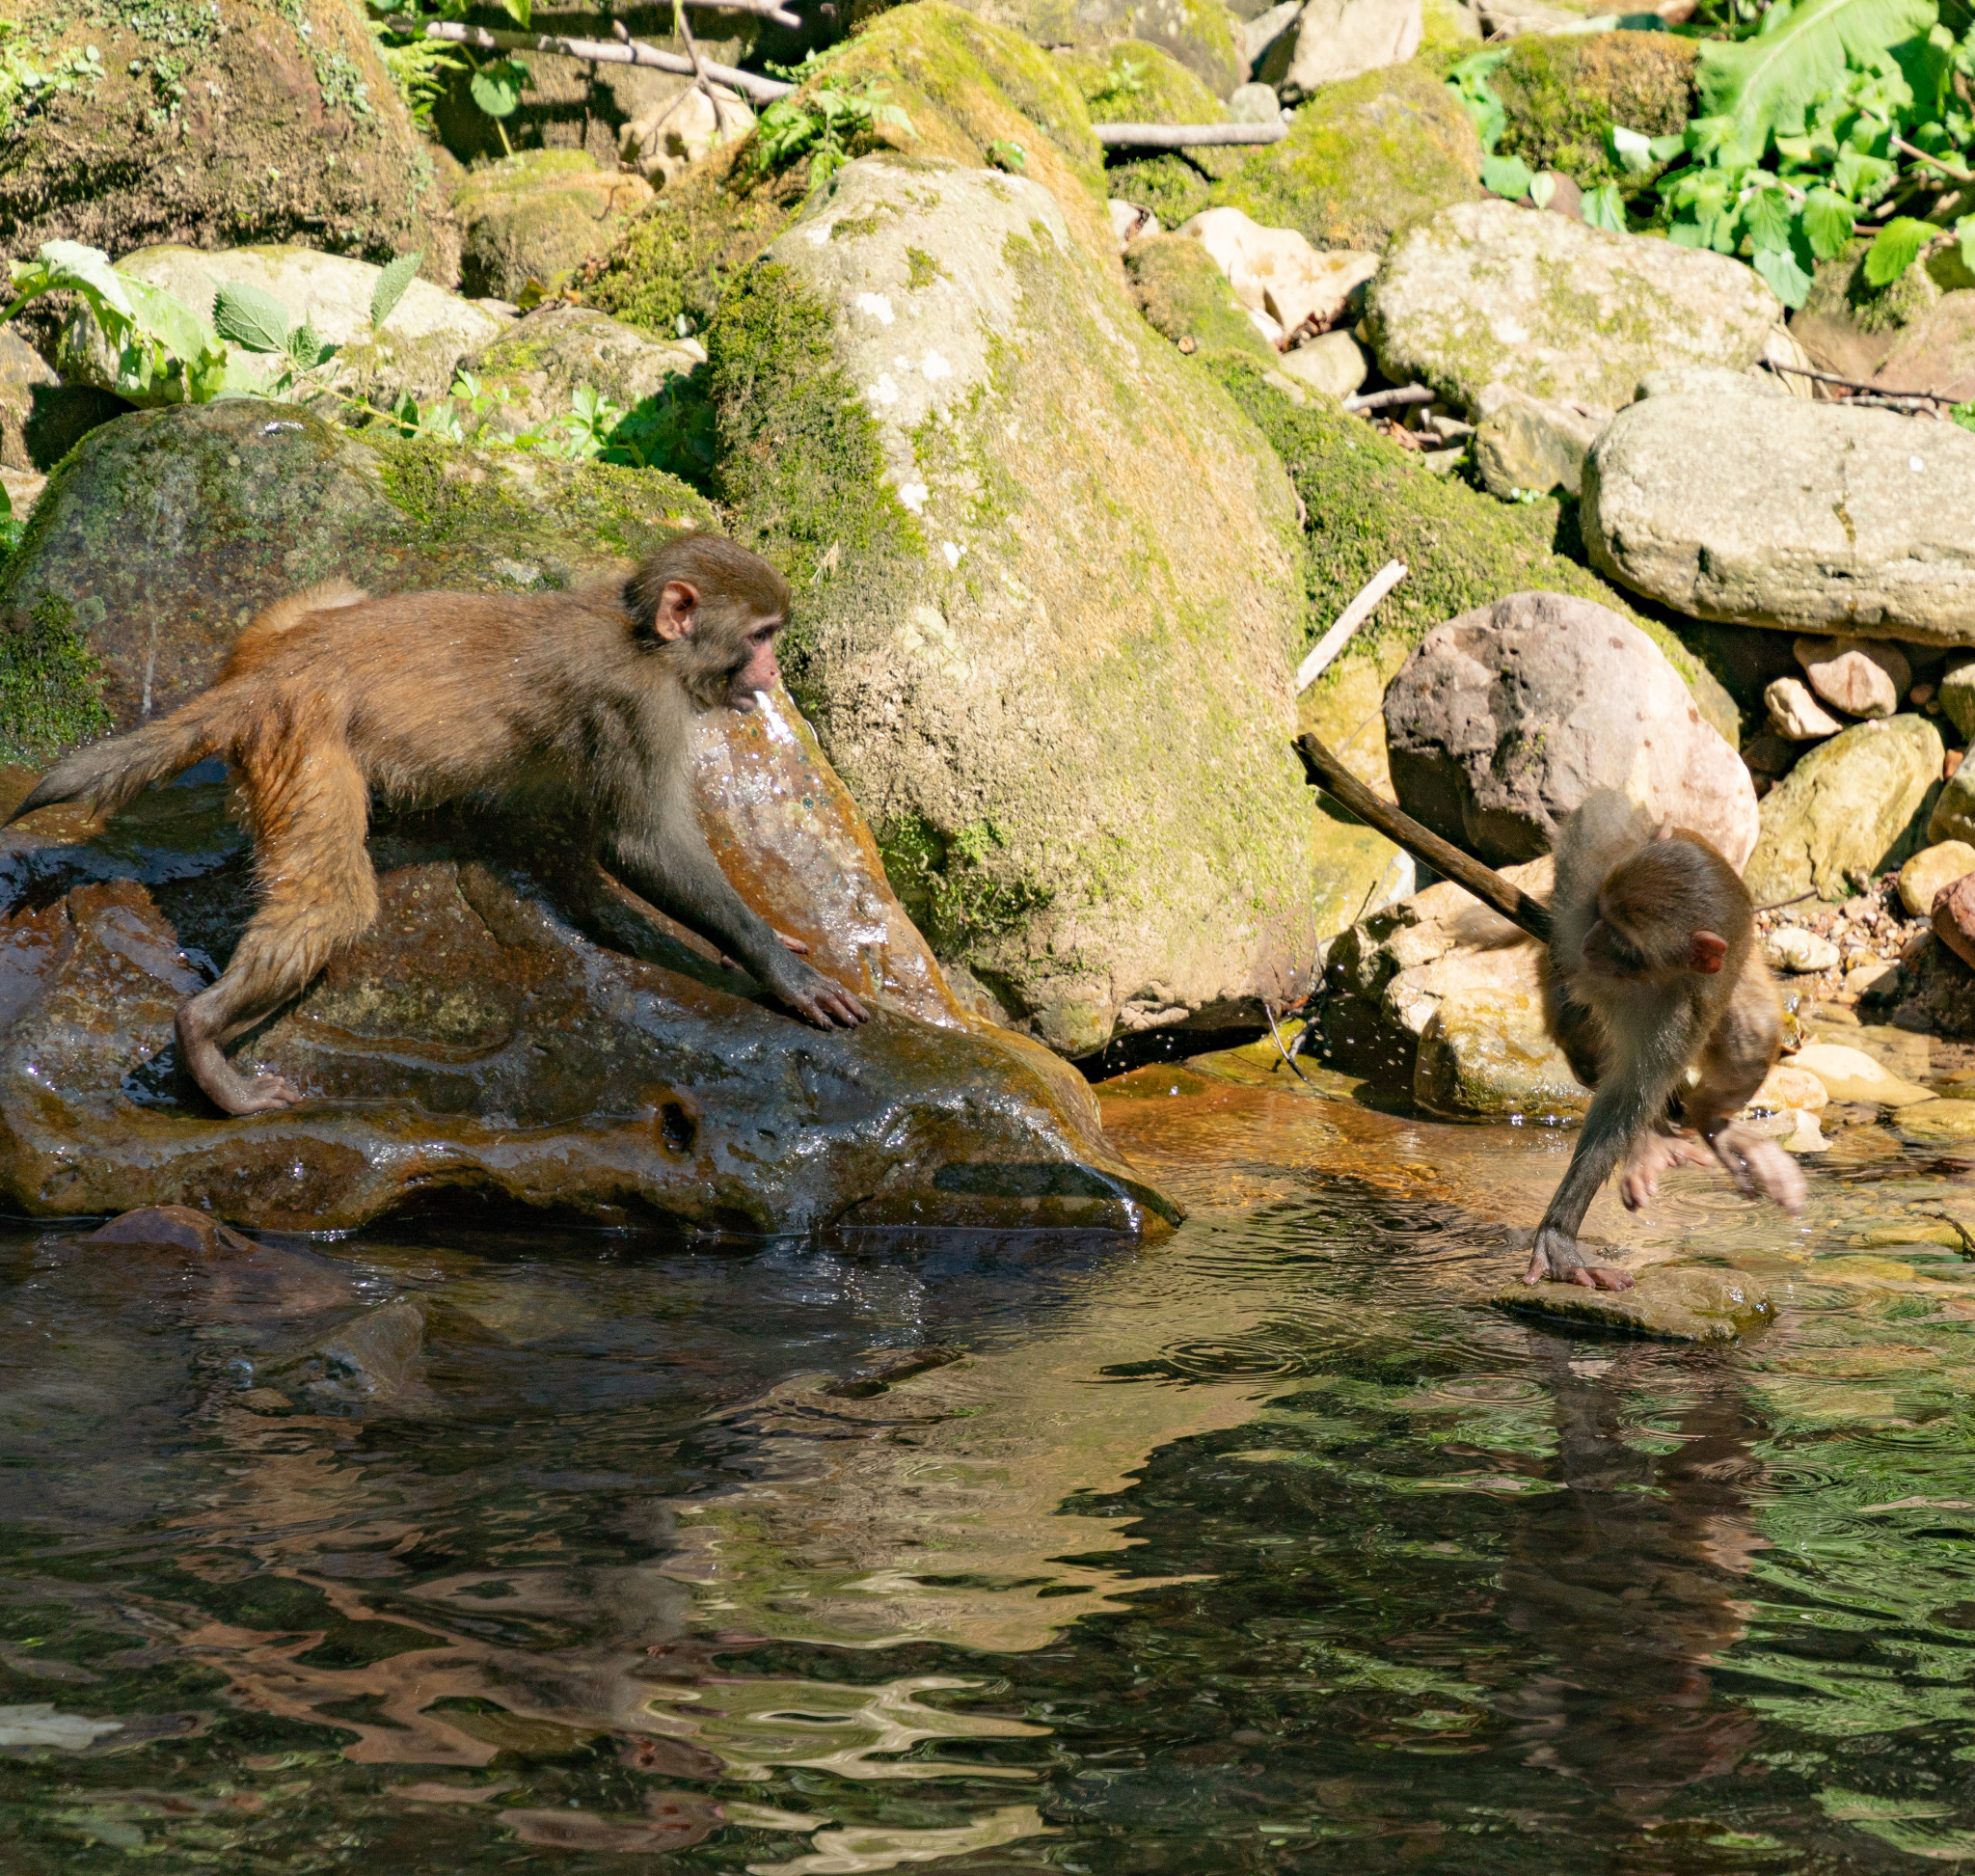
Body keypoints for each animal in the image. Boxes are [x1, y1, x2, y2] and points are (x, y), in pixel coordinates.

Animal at [14, 529, 865, 1113]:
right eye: (760, 636)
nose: (774, 672)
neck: (647, 638)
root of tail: (271, 673)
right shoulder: (638, 709)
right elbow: (640, 845)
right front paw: (777, 966)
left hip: (278, 633)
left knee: (339, 589)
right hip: (305, 745)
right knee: (335, 902)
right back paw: (202, 1036)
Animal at [1287, 734, 1808, 1295]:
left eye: (1626, 946)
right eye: (1604, 915)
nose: (1591, 942)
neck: (1639, 981)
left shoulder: (1683, 1009)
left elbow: (1631, 1094)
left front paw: (1564, 1228)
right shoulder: (1592, 889)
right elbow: (1598, 821)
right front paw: (1562, 1236)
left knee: (1750, 1034)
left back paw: (1710, 1123)